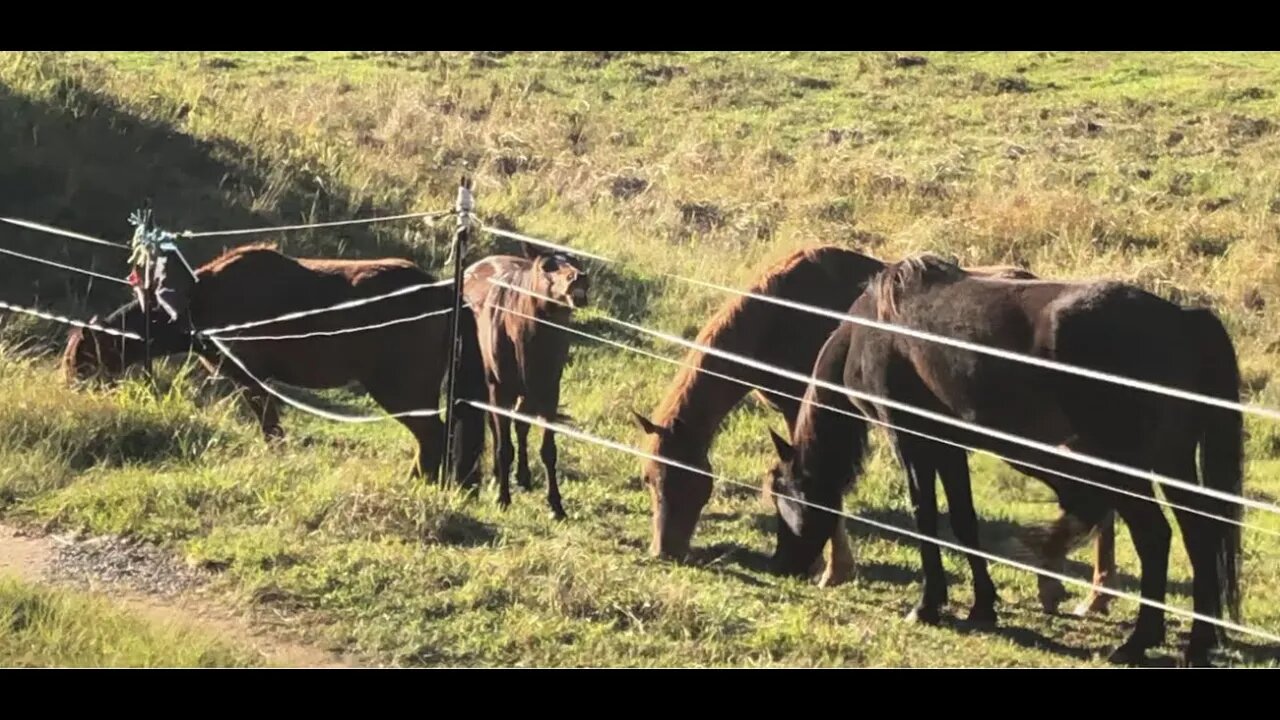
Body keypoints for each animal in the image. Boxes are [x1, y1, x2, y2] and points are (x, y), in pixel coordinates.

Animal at [61, 240, 488, 481]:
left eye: (80, 357)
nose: (67, 386)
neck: (195, 301)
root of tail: (445, 292)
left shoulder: (251, 377)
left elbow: (269, 425)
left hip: (401, 389)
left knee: (433, 437)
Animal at [460, 240, 588, 515]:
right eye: (546, 266)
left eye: (576, 262)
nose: (579, 278)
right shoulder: (499, 389)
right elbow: (503, 447)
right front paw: (502, 499)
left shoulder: (550, 391)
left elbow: (548, 449)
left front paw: (556, 505)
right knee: (497, 427)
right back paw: (498, 477)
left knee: (520, 425)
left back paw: (523, 477)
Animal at [632, 242, 1121, 604]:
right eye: (649, 479)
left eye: (689, 481)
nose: (665, 551)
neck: (779, 317)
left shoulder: (804, 407)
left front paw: (831, 570)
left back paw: (1087, 592)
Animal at [762, 253, 1244, 666]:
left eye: (783, 496)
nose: (781, 566)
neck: (873, 328)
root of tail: (1184, 320)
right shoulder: (949, 446)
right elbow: (964, 522)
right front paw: (981, 606)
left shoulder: (911, 441)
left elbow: (926, 520)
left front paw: (927, 606)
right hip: (1174, 463)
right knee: (1199, 536)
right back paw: (1197, 645)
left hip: (1127, 468)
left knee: (1155, 537)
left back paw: (1137, 642)